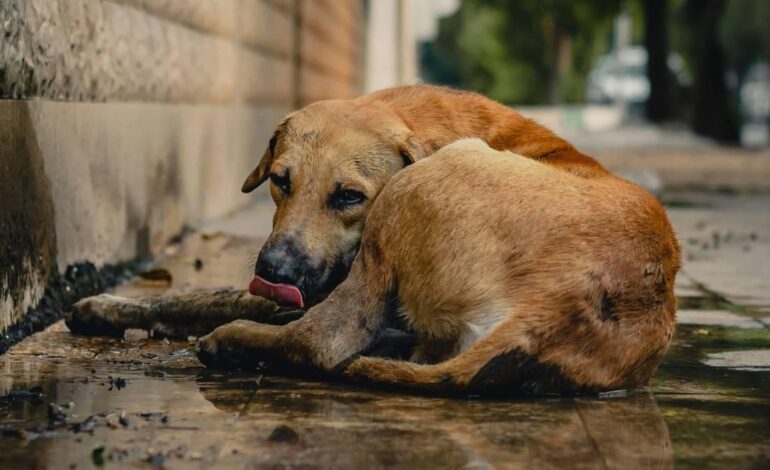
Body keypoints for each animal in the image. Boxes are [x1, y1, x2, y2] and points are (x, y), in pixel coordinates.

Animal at [67, 85, 680, 396]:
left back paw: (233, 345)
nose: (274, 271)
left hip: (408, 193)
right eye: (280, 181)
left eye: (347, 197)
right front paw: (109, 309)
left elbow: (219, 301)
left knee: (321, 341)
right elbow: (196, 295)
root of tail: (556, 309)